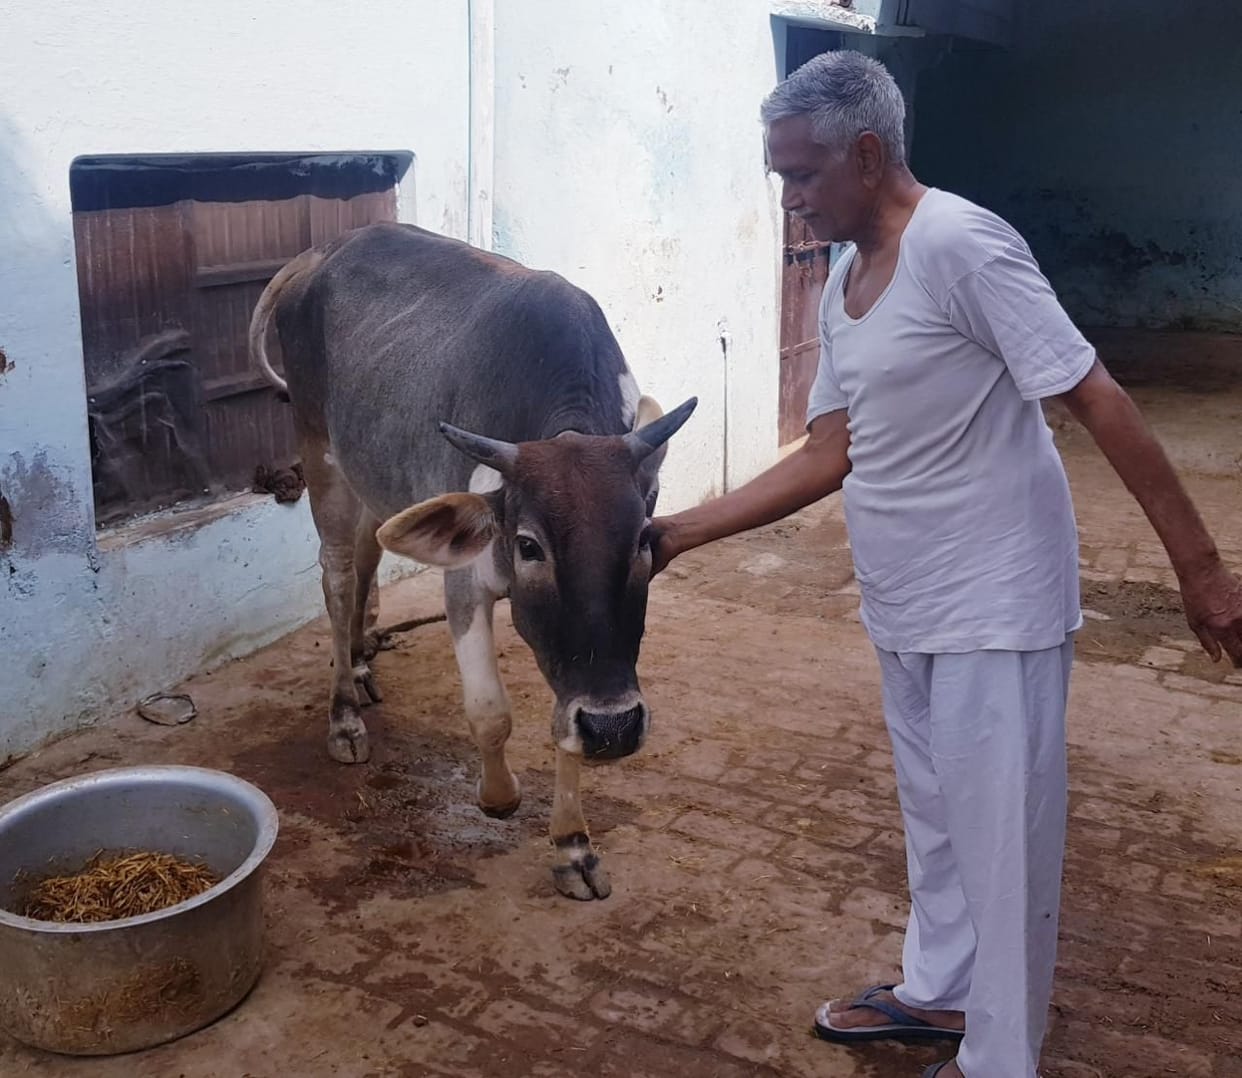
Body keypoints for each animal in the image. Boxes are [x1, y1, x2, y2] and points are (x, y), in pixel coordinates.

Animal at [248, 222, 696, 900]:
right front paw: (499, 795)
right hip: (320, 453)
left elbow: (565, 724)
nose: (616, 728)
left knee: (369, 552)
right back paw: (344, 717)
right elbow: (490, 713)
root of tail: (325, 250)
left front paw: (573, 846)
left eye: (643, 539)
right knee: (338, 573)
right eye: (529, 545)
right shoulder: (465, 582)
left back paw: (359, 661)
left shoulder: (581, 664)